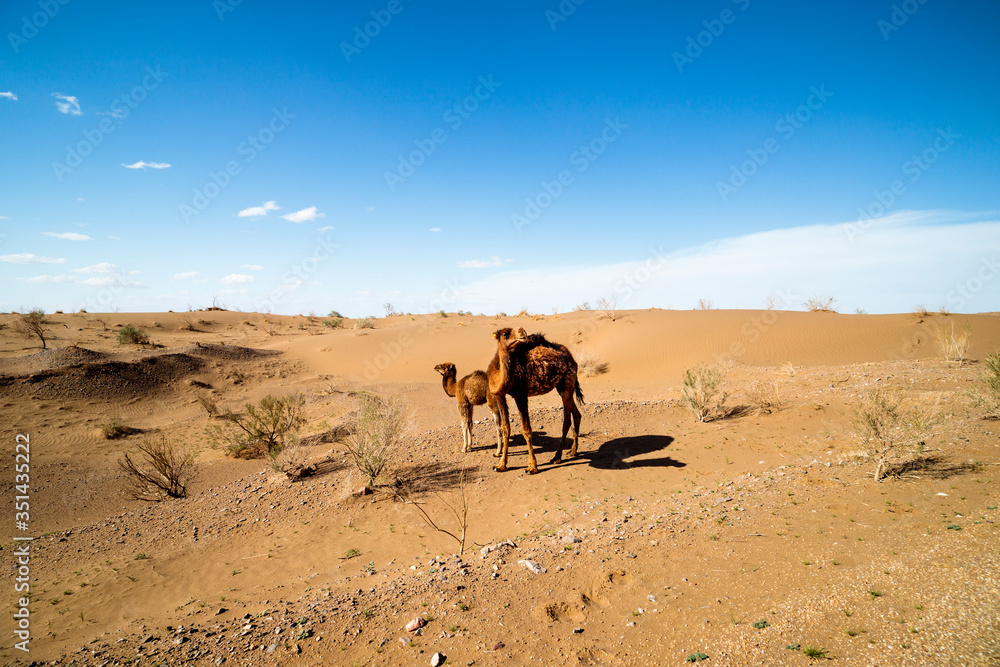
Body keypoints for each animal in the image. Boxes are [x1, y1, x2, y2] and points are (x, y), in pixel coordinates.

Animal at [488, 328, 584, 474]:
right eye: (505, 334)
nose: (522, 331)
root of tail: (571, 356)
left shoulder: (521, 394)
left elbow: (526, 430)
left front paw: (532, 467)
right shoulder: (499, 395)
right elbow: (505, 428)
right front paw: (501, 465)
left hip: (568, 381)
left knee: (566, 421)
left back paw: (557, 457)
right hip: (563, 385)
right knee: (577, 414)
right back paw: (573, 451)